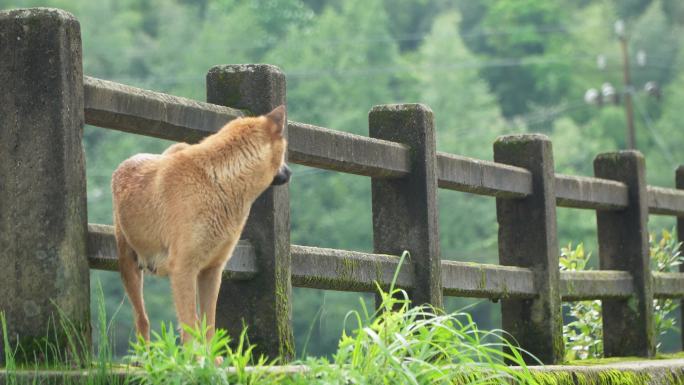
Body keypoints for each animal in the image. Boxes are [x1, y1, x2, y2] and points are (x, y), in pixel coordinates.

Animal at [110, 103, 292, 340]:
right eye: (285, 151)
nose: (290, 172)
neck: (218, 181)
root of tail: (124, 164)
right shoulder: (183, 269)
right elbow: (189, 328)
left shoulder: (211, 272)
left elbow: (208, 328)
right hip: (128, 266)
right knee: (143, 321)